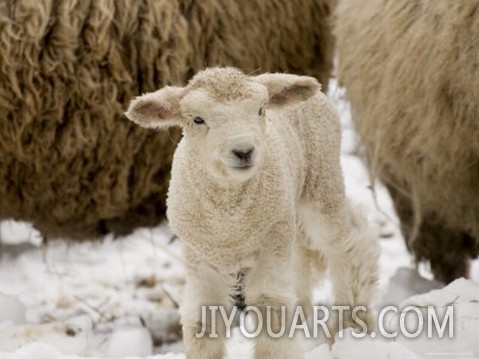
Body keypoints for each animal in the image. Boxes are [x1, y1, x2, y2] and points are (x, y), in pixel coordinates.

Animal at [125, 68, 380, 359]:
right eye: (198, 119)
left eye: (261, 109)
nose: (244, 151)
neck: (230, 219)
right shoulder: (200, 254)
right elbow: (202, 317)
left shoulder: (270, 245)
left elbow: (269, 305)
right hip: (289, 213)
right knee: (302, 257)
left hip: (321, 182)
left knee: (348, 244)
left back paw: (351, 325)